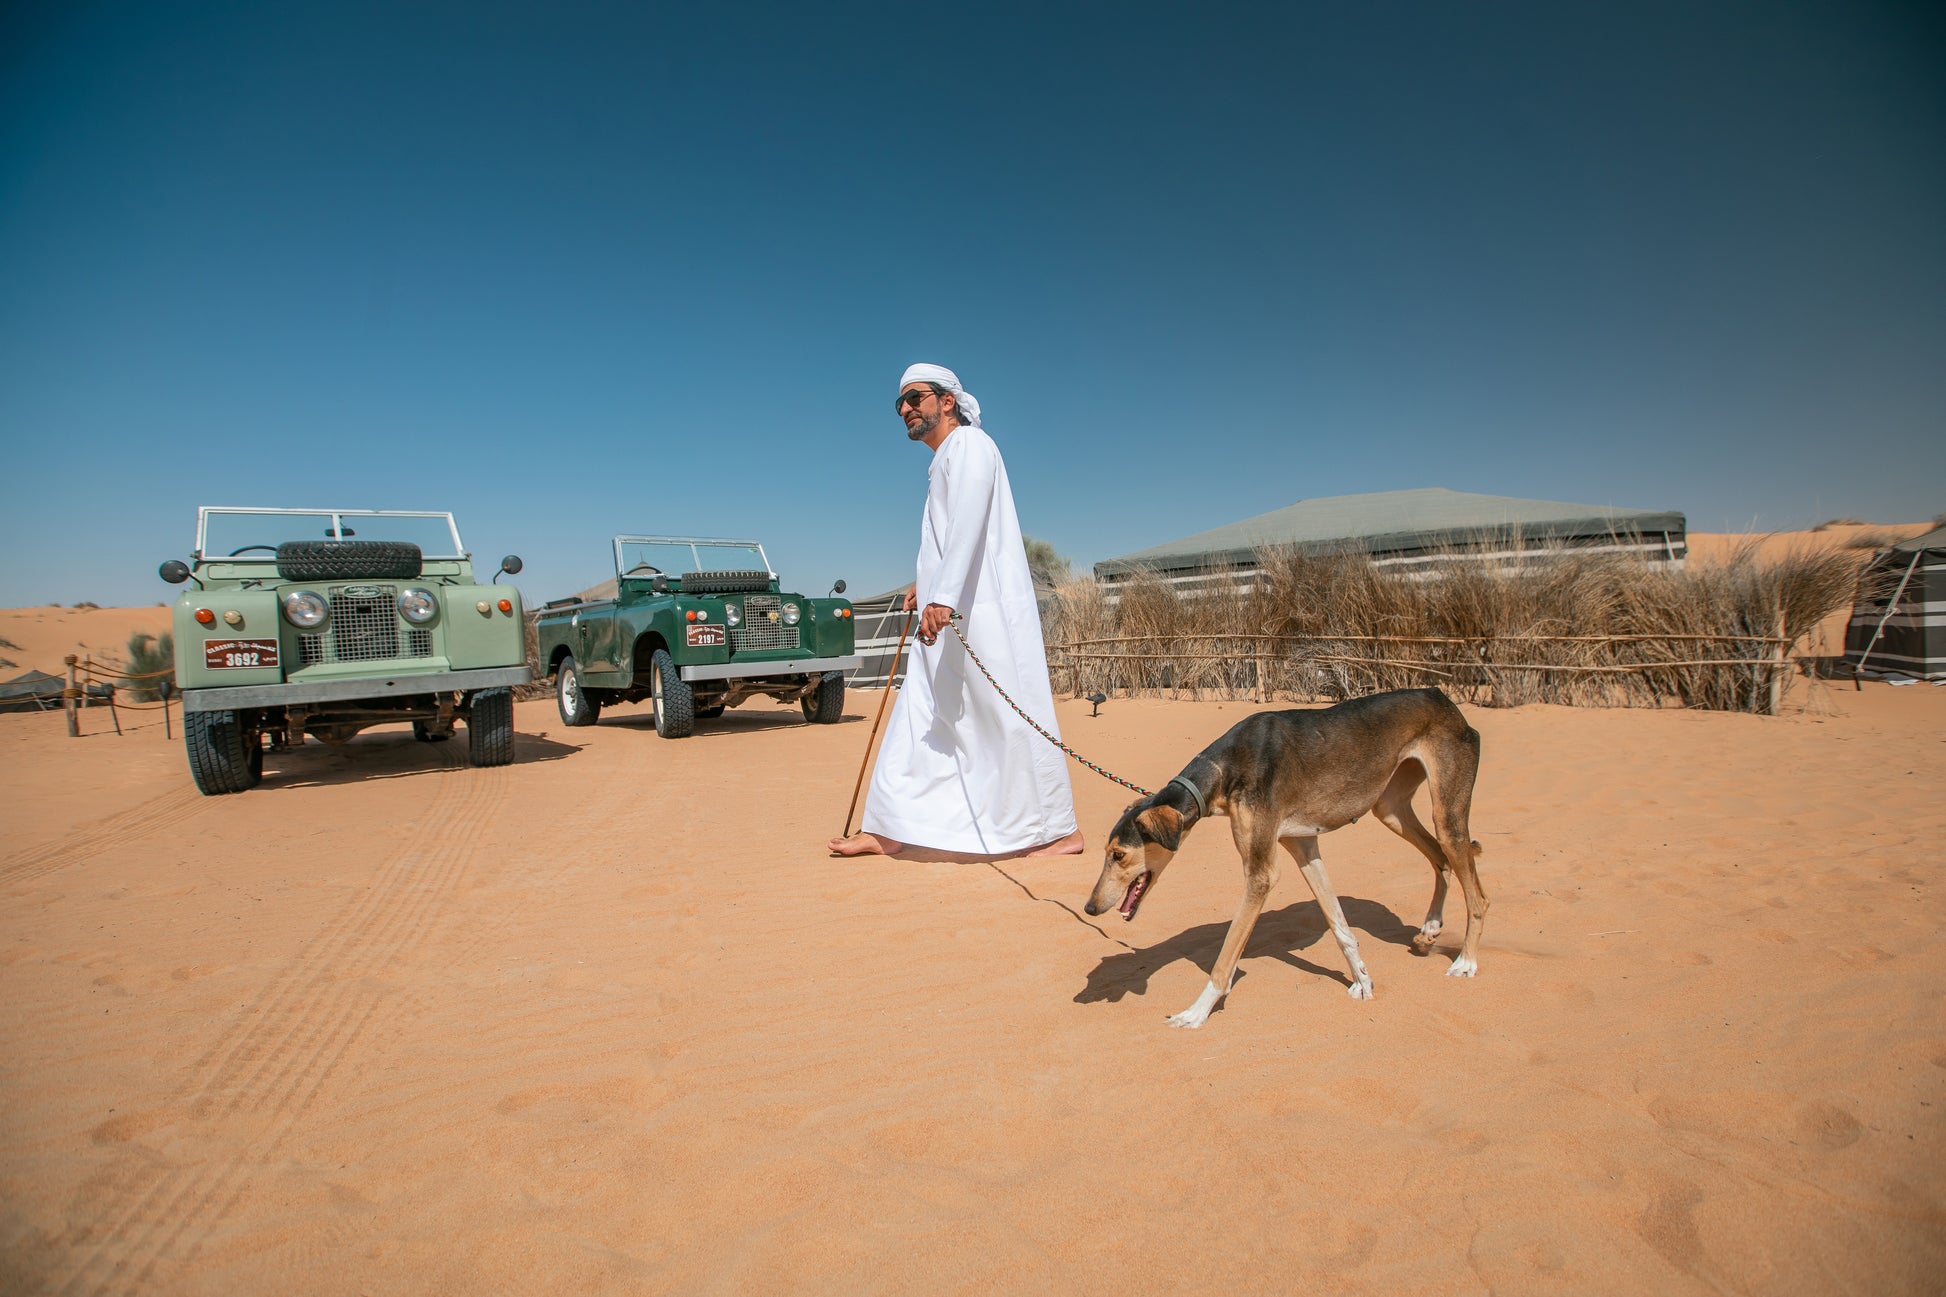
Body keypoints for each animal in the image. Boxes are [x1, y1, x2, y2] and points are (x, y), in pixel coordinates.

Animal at [1081, 681, 1486, 1028]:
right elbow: (1339, 926)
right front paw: (1362, 980)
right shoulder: (1303, 846)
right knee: (1441, 859)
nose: (1090, 907)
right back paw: (1430, 928)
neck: (1224, 768)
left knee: (1477, 895)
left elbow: (1225, 958)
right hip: (1390, 810)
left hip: (1447, 814)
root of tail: (1442, 698)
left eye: (1118, 855)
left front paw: (1196, 1012)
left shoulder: (1261, 875)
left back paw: (1466, 961)